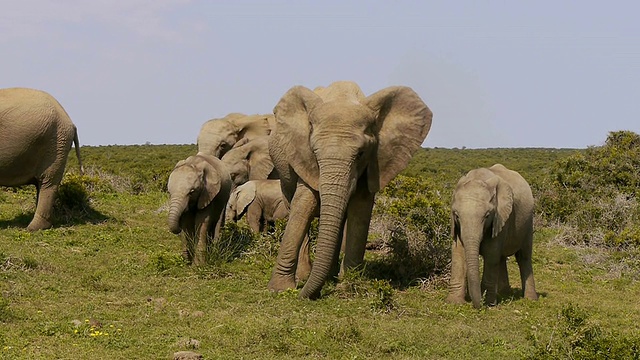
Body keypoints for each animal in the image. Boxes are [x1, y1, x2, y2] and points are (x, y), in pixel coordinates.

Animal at [262, 81, 432, 298]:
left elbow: (360, 212)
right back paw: (305, 277)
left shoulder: (373, 162)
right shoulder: (303, 157)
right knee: (293, 205)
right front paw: (280, 289)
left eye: (360, 154)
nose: (306, 296)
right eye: (315, 152)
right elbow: (303, 204)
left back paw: (330, 277)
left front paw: (347, 286)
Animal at [444, 165, 540, 308]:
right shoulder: (456, 226)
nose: (476, 305)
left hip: (528, 222)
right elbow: (458, 252)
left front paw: (488, 304)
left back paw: (530, 299)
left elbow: (491, 252)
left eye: (487, 215)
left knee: (523, 257)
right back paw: (503, 293)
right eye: (456, 215)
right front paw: (454, 303)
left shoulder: (501, 217)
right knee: (501, 258)